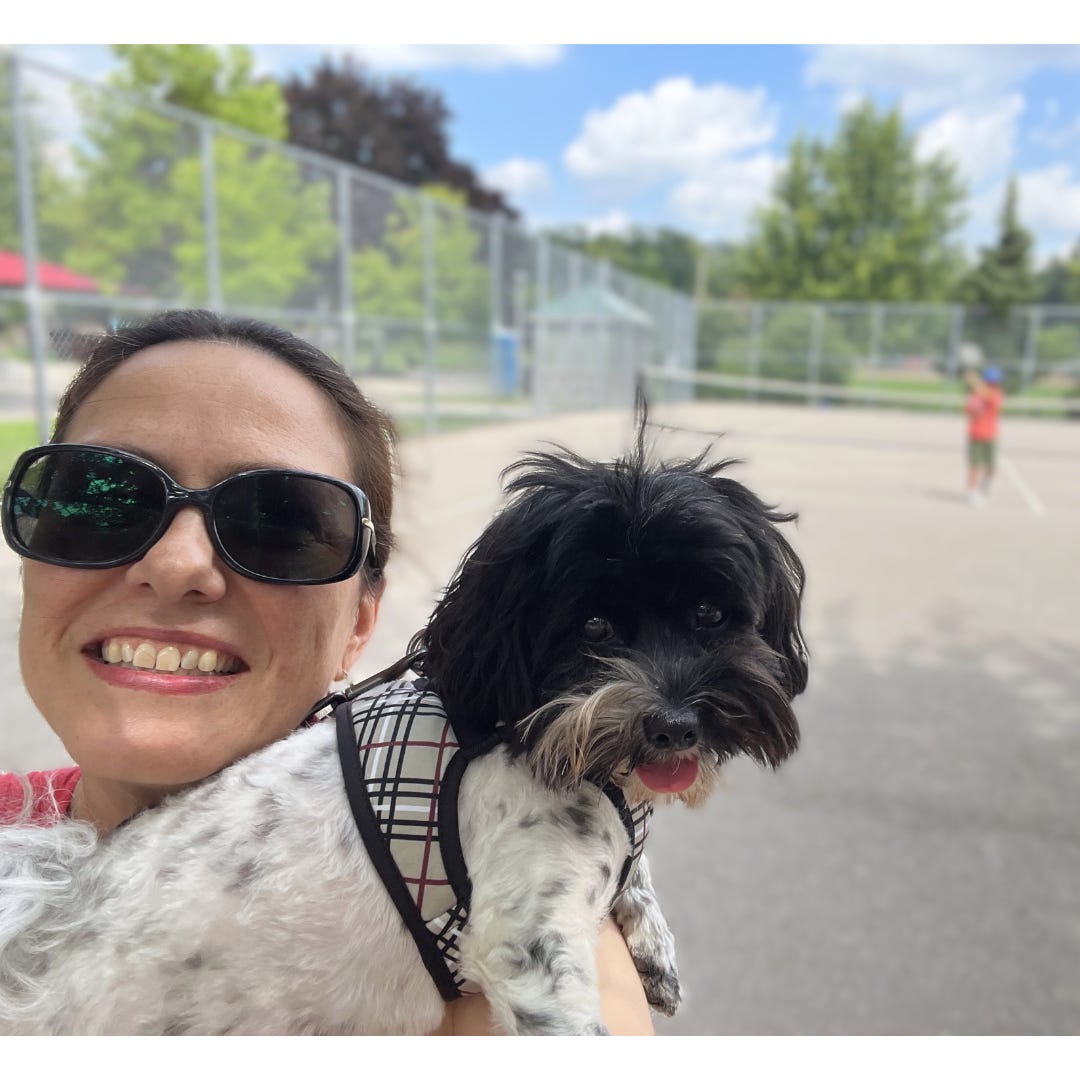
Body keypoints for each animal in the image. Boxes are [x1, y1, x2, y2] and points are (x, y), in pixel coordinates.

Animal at [0, 414, 812, 1036]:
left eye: (710, 614)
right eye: (593, 627)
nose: (675, 725)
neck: (529, 735)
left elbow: (635, 867)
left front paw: (653, 940)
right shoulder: (529, 954)